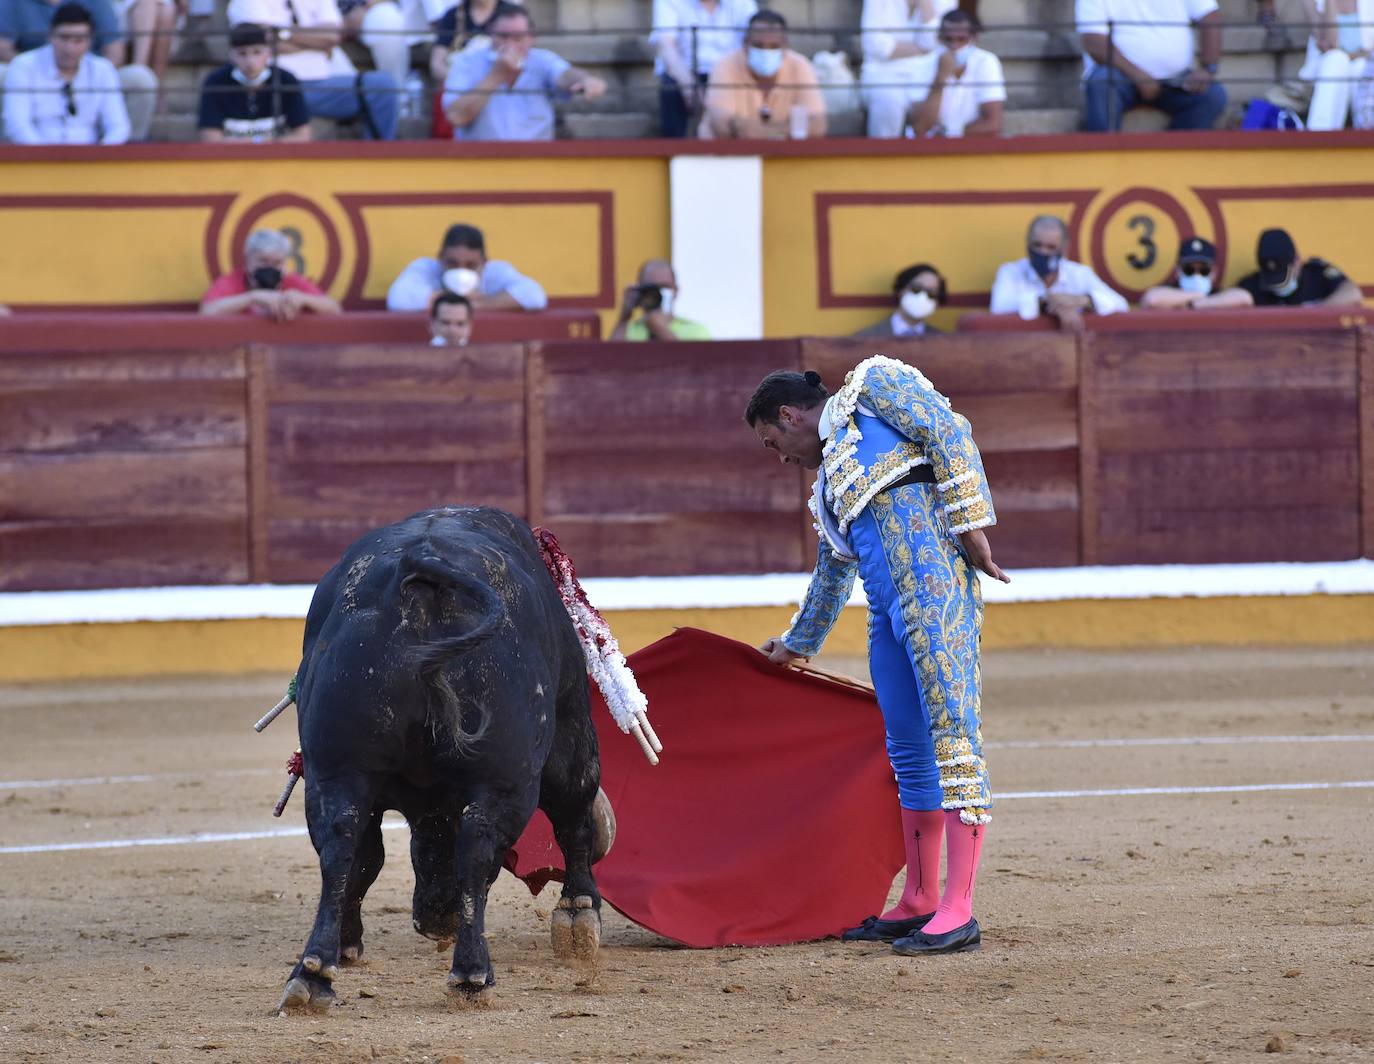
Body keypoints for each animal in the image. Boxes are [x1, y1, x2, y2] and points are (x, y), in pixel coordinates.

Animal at [281, 503, 610, 1011]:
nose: (437, 918)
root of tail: (422, 574)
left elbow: (365, 860)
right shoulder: (570, 719)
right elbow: (571, 820)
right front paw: (579, 915)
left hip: (337, 768)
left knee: (340, 846)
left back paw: (313, 974)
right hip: (512, 773)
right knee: (484, 846)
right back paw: (473, 971)